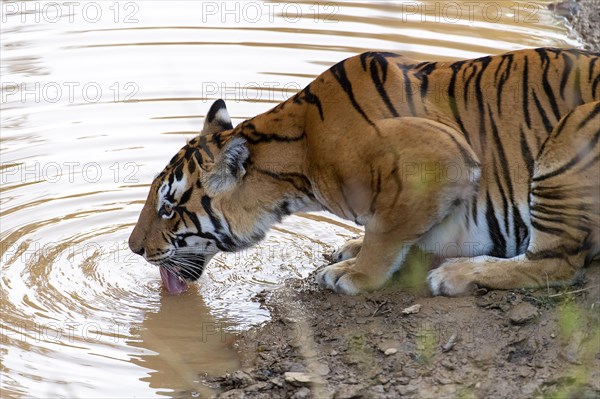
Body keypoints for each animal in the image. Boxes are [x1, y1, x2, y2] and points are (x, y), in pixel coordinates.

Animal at [130, 47, 600, 296]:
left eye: (169, 208)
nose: (134, 248)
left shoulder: (439, 157)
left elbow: (386, 231)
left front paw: (354, 274)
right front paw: (352, 249)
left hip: (568, 137)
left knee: (558, 263)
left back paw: (457, 274)